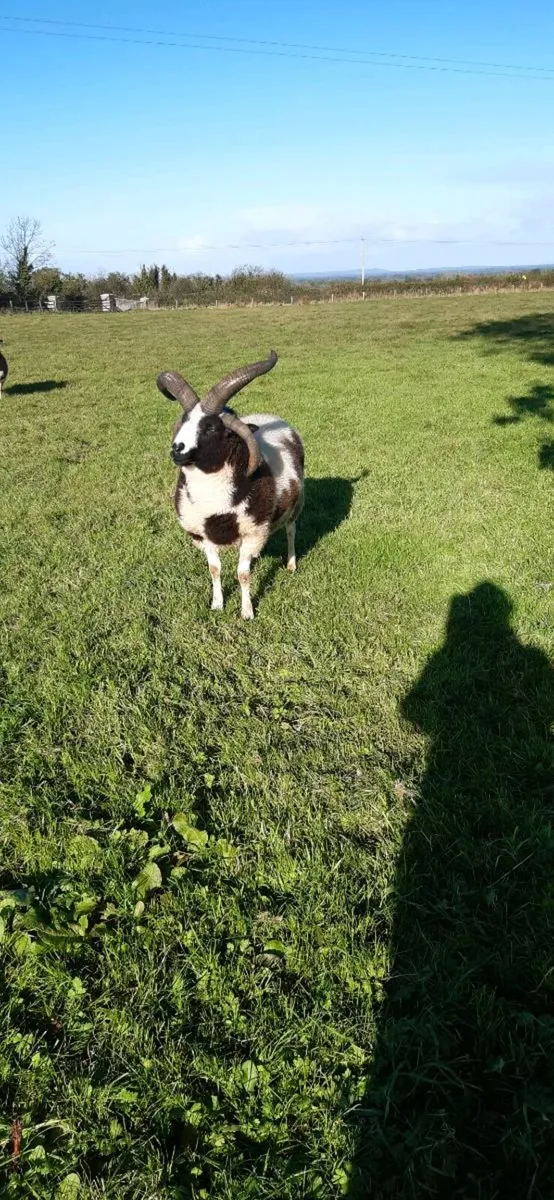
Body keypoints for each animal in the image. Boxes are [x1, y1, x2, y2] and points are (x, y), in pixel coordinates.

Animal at [157, 350, 304, 619]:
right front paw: (217, 604)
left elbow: (243, 575)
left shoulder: (253, 532)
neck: (213, 501)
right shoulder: (203, 536)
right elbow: (215, 570)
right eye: (184, 421)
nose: (177, 450)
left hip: (296, 505)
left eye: (211, 427)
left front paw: (247, 612)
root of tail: (269, 417)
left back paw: (290, 564)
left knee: (291, 531)